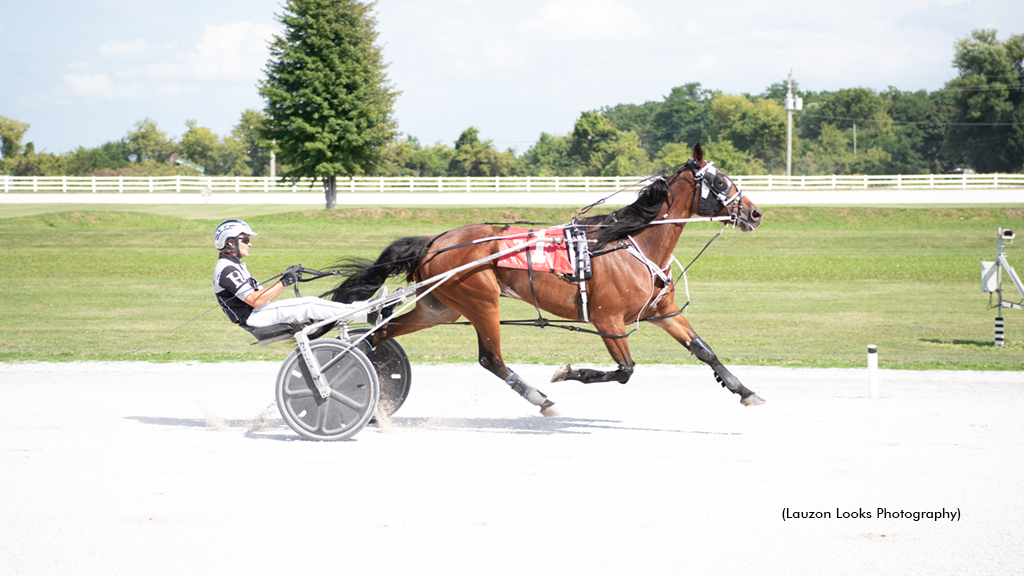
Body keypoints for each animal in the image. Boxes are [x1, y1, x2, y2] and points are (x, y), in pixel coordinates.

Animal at [323, 142, 765, 412]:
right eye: (721, 181)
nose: (755, 212)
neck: (630, 241)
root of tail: (434, 241)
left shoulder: (663, 311)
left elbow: (705, 351)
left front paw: (746, 391)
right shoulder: (607, 320)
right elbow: (625, 371)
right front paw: (568, 373)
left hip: (440, 306)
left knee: (380, 336)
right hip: (481, 300)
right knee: (491, 359)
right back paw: (540, 399)